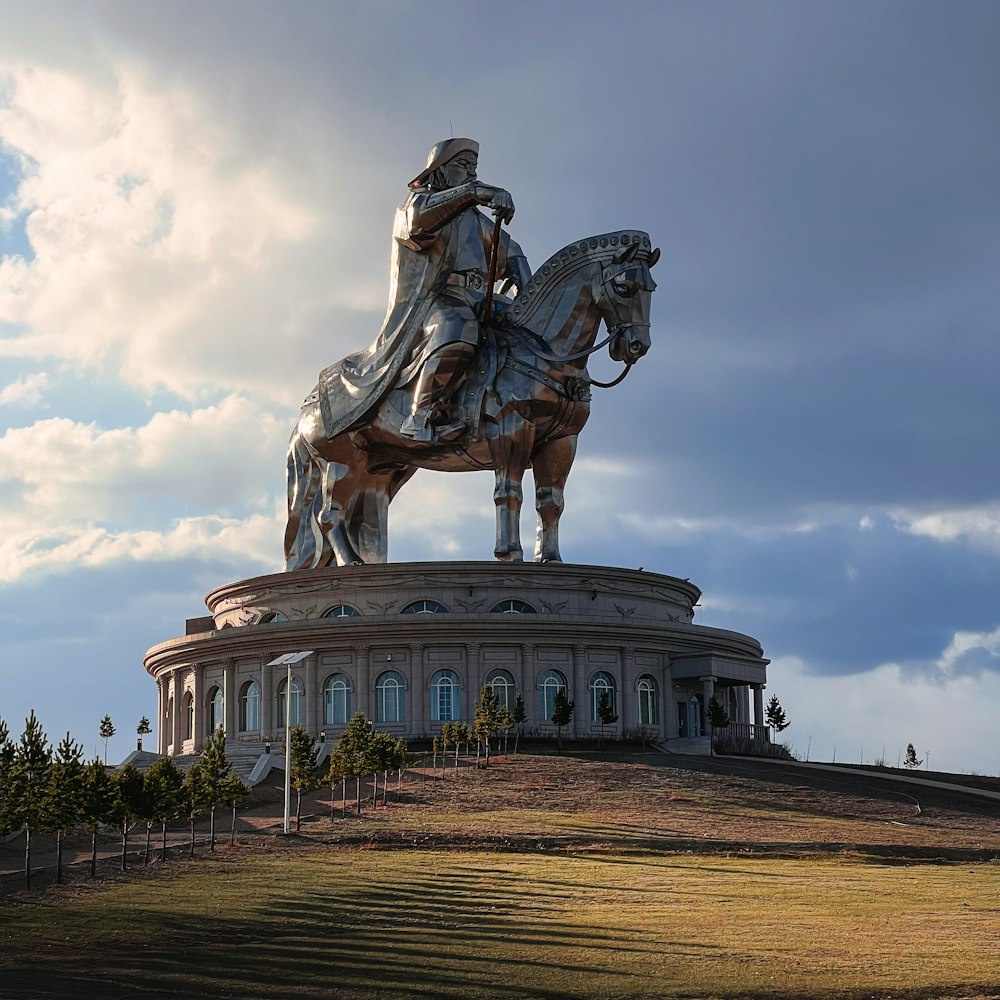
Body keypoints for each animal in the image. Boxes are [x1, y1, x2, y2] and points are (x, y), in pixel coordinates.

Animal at [284, 229, 656, 568]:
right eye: (624, 287)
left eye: (651, 287)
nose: (636, 346)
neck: (544, 350)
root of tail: (309, 403)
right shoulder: (511, 428)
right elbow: (509, 492)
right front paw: (510, 554)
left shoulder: (563, 440)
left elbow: (551, 502)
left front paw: (551, 558)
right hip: (340, 462)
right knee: (330, 515)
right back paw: (352, 563)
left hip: (379, 466)